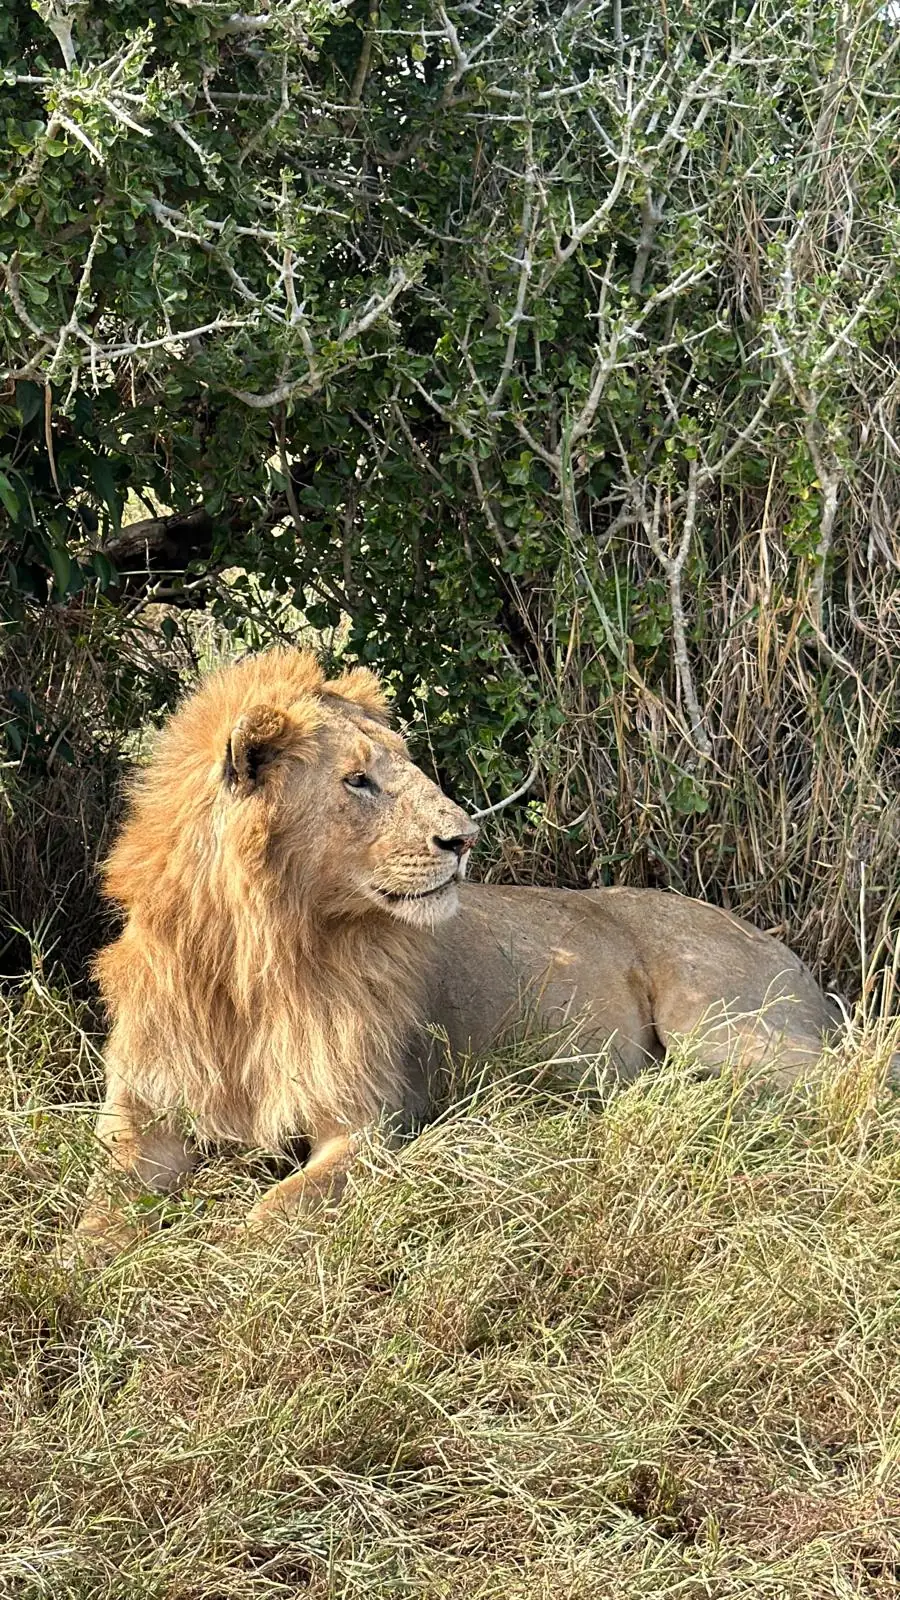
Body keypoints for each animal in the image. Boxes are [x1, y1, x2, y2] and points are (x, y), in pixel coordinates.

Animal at [78, 647, 838, 1250]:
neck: (262, 958)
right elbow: (97, 1203)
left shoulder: (370, 1122)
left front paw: (222, 1246)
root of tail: (790, 957)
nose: (465, 838)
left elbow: (275, 1212)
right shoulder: (139, 1113)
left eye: (407, 767)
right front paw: (91, 1261)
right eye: (357, 779)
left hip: (719, 1024)